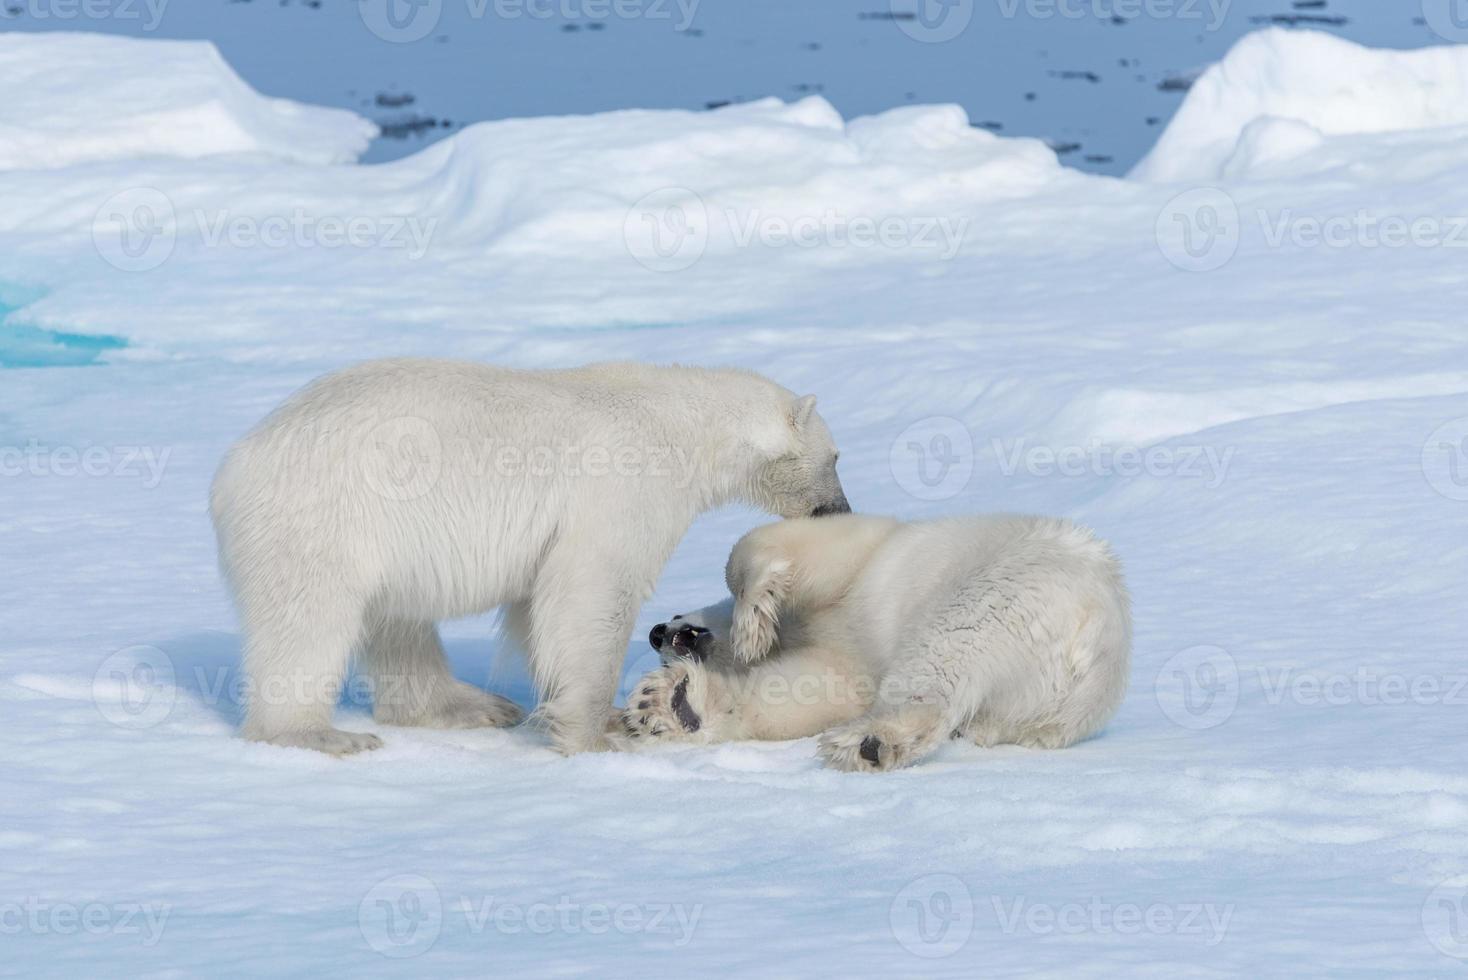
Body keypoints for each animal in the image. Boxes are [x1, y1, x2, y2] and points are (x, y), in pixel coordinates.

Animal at [206, 359, 851, 757]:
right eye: (837, 456)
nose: (839, 509)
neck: (683, 423)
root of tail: (233, 466)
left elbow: (538, 606)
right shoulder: (623, 484)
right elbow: (592, 589)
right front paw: (598, 733)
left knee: (398, 622)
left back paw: (471, 706)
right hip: (324, 518)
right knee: (307, 621)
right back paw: (318, 735)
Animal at [619, 513, 1133, 774]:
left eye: (674, 617)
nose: (657, 631)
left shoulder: (861, 559)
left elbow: (790, 545)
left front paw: (751, 624)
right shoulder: (841, 657)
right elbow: (804, 692)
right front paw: (669, 703)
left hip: (1002, 588)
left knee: (945, 650)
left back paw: (865, 741)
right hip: (1028, 707)